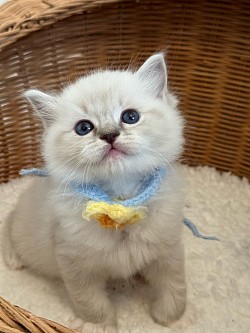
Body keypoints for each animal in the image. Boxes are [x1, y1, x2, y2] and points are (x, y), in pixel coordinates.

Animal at [1, 53, 186, 330]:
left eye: (130, 117)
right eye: (83, 128)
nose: (109, 135)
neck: (120, 201)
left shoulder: (168, 249)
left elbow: (175, 285)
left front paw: (168, 318)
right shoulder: (76, 264)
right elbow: (92, 303)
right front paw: (101, 326)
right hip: (18, 226)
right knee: (7, 224)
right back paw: (13, 259)